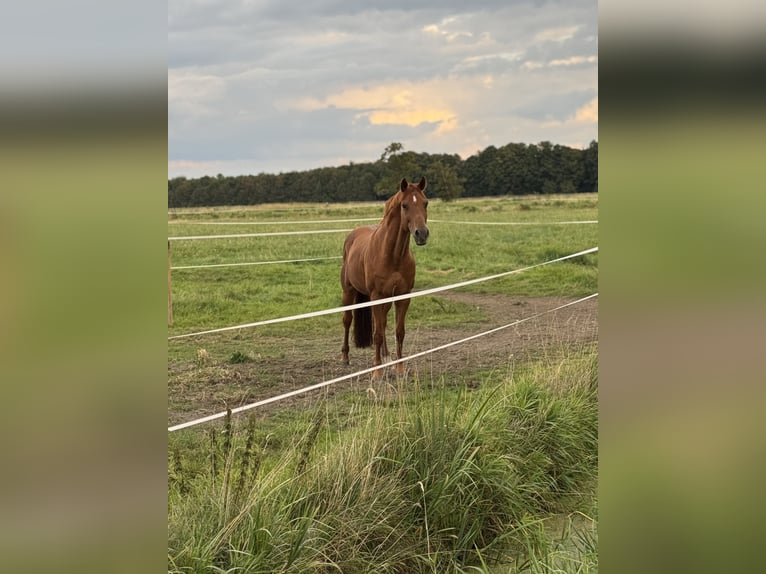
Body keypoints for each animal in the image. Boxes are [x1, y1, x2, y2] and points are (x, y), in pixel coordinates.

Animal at [340, 176, 430, 377]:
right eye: (404, 205)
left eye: (425, 203)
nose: (422, 234)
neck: (392, 255)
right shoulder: (376, 296)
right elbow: (378, 333)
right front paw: (377, 372)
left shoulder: (403, 296)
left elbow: (398, 331)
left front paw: (399, 368)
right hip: (349, 292)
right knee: (348, 320)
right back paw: (345, 357)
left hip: (386, 299)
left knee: (382, 322)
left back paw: (387, 357)